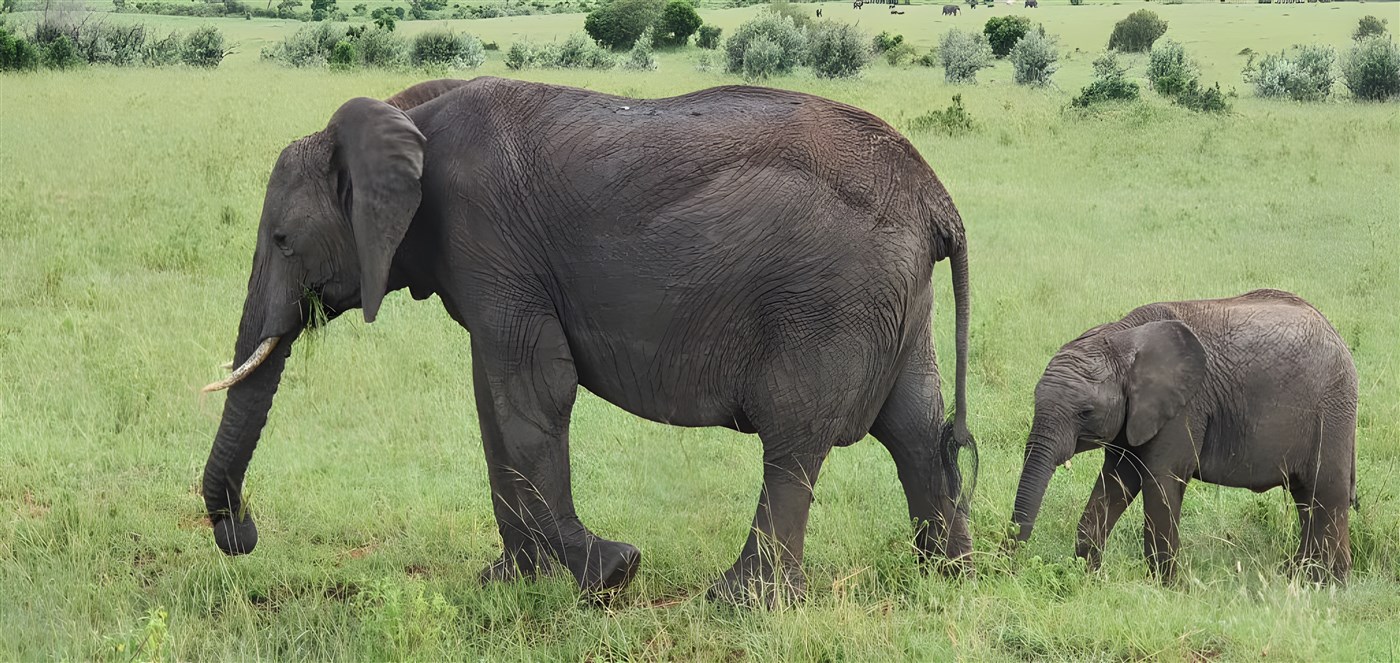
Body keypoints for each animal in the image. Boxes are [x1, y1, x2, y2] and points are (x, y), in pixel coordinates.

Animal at [199, 77, 976, 604]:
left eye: (282, 240)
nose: (245, 534)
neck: (404, 117)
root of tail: (939, 201)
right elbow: (493, 401)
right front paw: (512, 581)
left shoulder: (488, 239)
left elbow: (531, 390)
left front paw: (608, 574)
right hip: (897, 302)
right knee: (914, 428)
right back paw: (947, 575)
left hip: (828, 299)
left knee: (793, 441)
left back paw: (738, 604)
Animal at [1009, 289, 1358, 583]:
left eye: (1085, 412)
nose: (1006, 571)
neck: (1122, 336)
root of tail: (1337, 336)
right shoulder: (1133, 417)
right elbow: (1117, 480)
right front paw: (1089, 576)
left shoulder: (1184, 409)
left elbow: (1160, 480)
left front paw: (1165, 588)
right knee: (1306, 497)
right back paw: (1298, 576)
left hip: (1331, 410)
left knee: (1325, 494)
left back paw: (1325, 582)